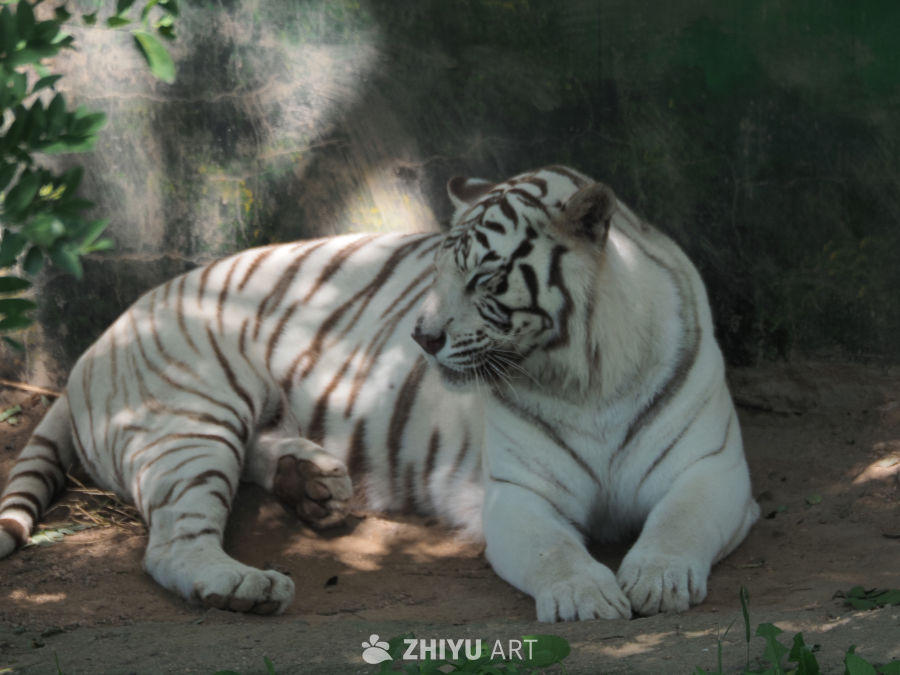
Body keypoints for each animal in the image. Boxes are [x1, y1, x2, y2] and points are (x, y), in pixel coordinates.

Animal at [0, 165, 759, 621]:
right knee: (172, 542)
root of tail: (102, 336)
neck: (586, 374)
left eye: (485, 280)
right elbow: (554, 550)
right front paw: (583, 597)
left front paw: (656, 581)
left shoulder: (711, 469)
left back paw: (311, 483)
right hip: (192, 414)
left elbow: (677, 524)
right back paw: (247, 585)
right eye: (438, 271)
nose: (420, 337)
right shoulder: (519, 496)